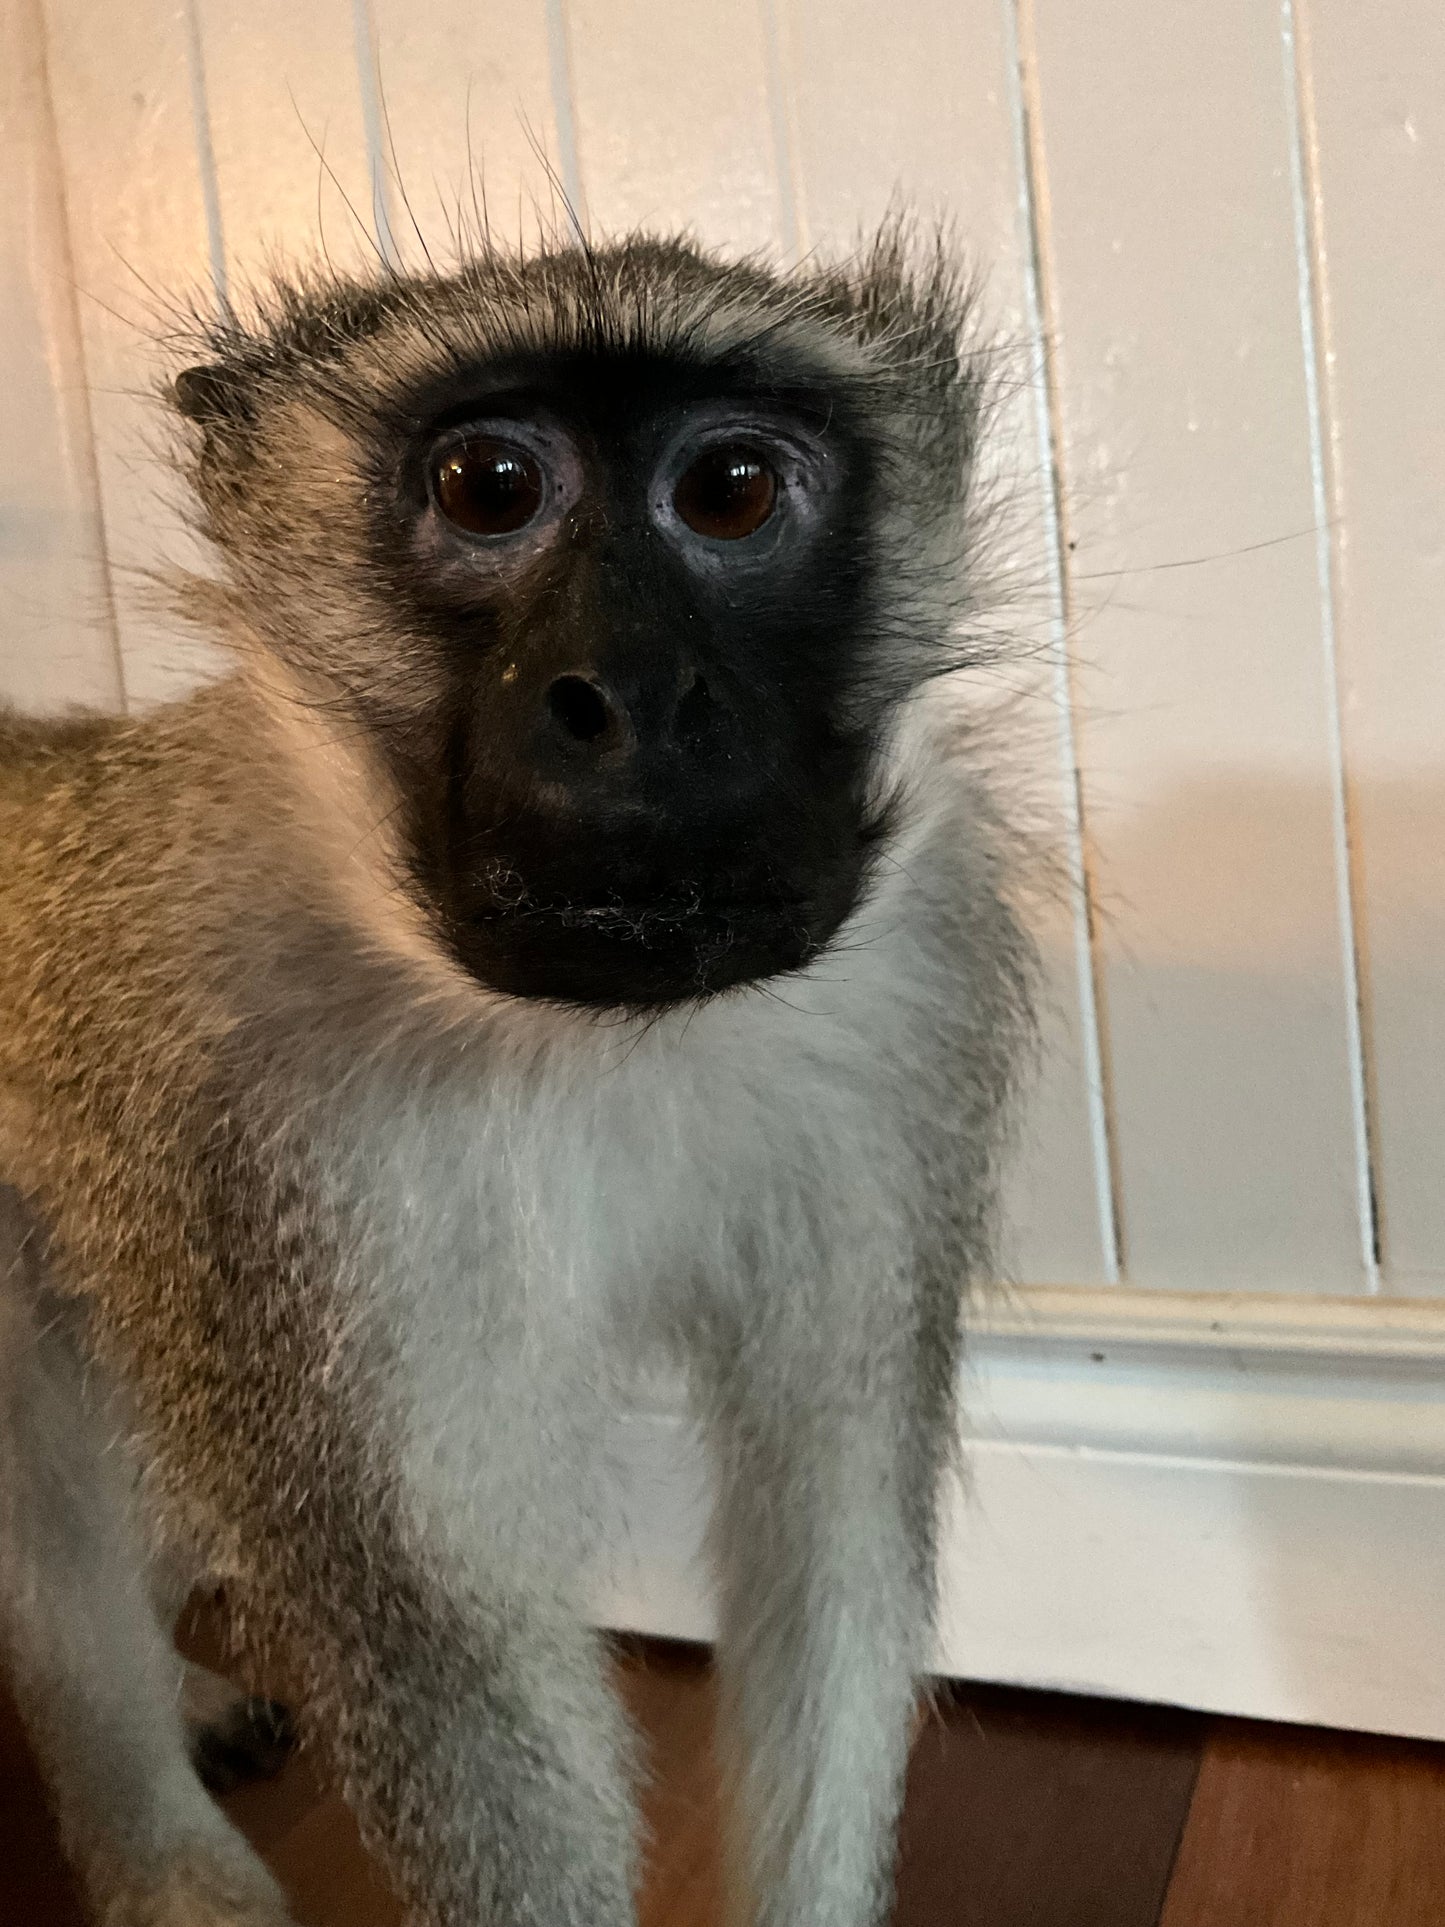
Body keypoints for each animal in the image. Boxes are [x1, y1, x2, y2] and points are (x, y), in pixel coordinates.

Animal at [0, 226, 1035, 1927]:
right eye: (488, 485)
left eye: (732, 487)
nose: (630, 694)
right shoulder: (267, 1159)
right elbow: (442, 1651)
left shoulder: (910, 1011)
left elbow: (833, 1528)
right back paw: (158, 1848)